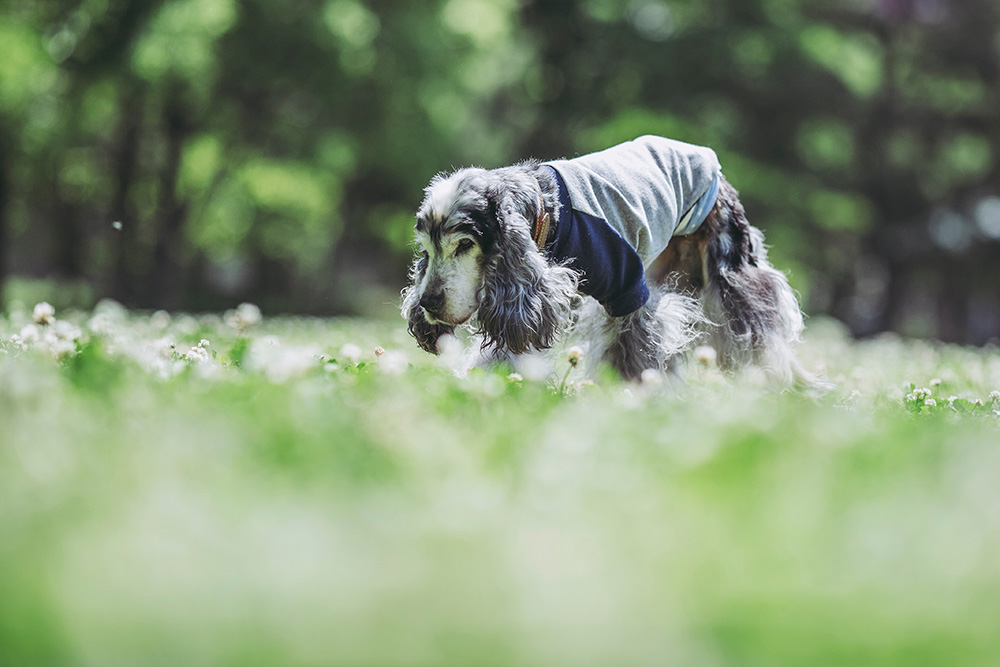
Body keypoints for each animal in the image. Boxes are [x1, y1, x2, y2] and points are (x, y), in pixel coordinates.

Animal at [402, 136, 816, 386]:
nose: (428, 303)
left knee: (762, 333)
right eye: (426, 250)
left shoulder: (629, 289)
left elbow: (635, 351)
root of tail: (706, 156)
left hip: (730, 275)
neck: (548, 213)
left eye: (464, 245)